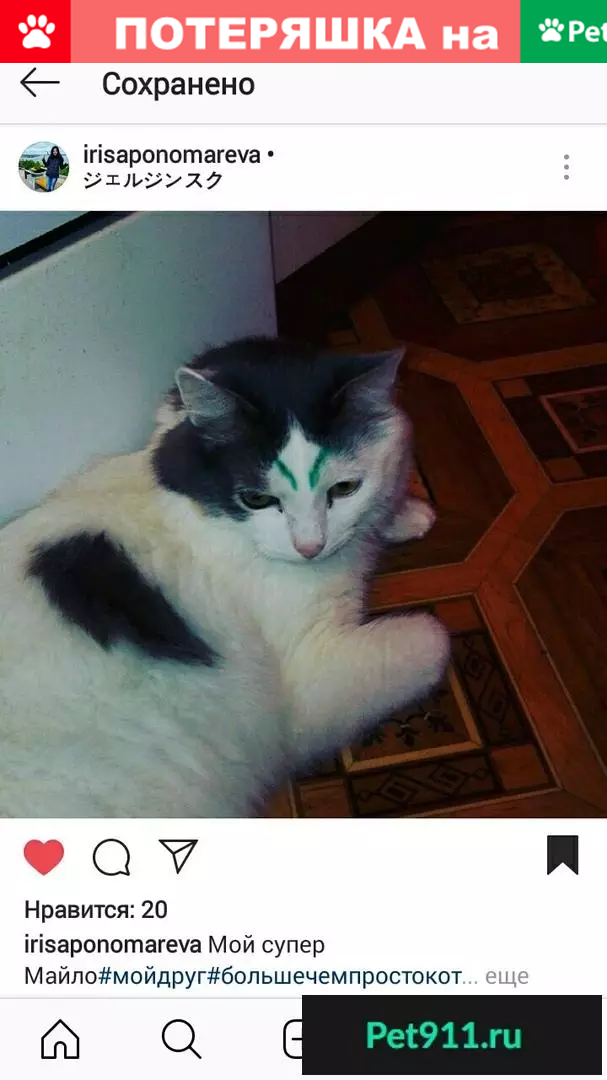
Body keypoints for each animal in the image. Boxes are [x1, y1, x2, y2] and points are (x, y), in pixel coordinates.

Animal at [0, 337, 449, 817]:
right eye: (256, 499)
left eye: (344, 489)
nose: (310, 547)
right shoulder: (309, 678)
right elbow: (434, 636)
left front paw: (405, 515)